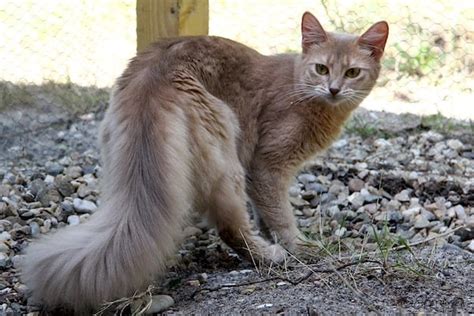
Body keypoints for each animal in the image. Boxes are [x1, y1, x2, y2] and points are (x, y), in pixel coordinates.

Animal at [21, 12, 388, 314]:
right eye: (321, 69)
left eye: (352, 72)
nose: (334, 89)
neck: (300, 85)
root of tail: (155, 74)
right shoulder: (266, 166)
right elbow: (281, 214)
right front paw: (297, 245)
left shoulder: (264, 178)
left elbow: (266, 211)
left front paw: (273, 234)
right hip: (228, 153)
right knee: (230, 227)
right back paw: (268, 256)